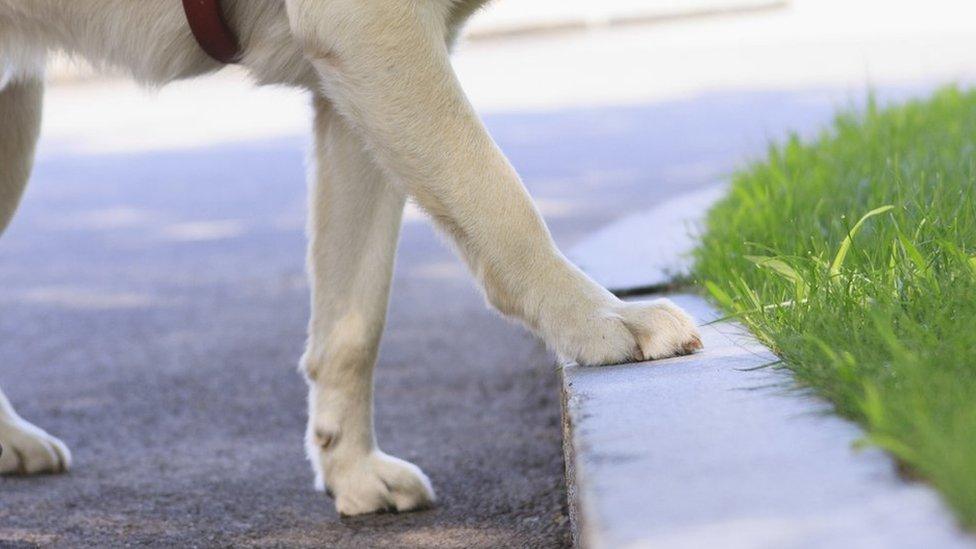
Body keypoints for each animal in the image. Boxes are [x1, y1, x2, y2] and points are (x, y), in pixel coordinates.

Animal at [0, 0, 700, 516]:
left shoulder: (352, 86)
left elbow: (354, 320)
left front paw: (351, 469)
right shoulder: (371, 28)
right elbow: (498, 195)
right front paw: (603, 318)